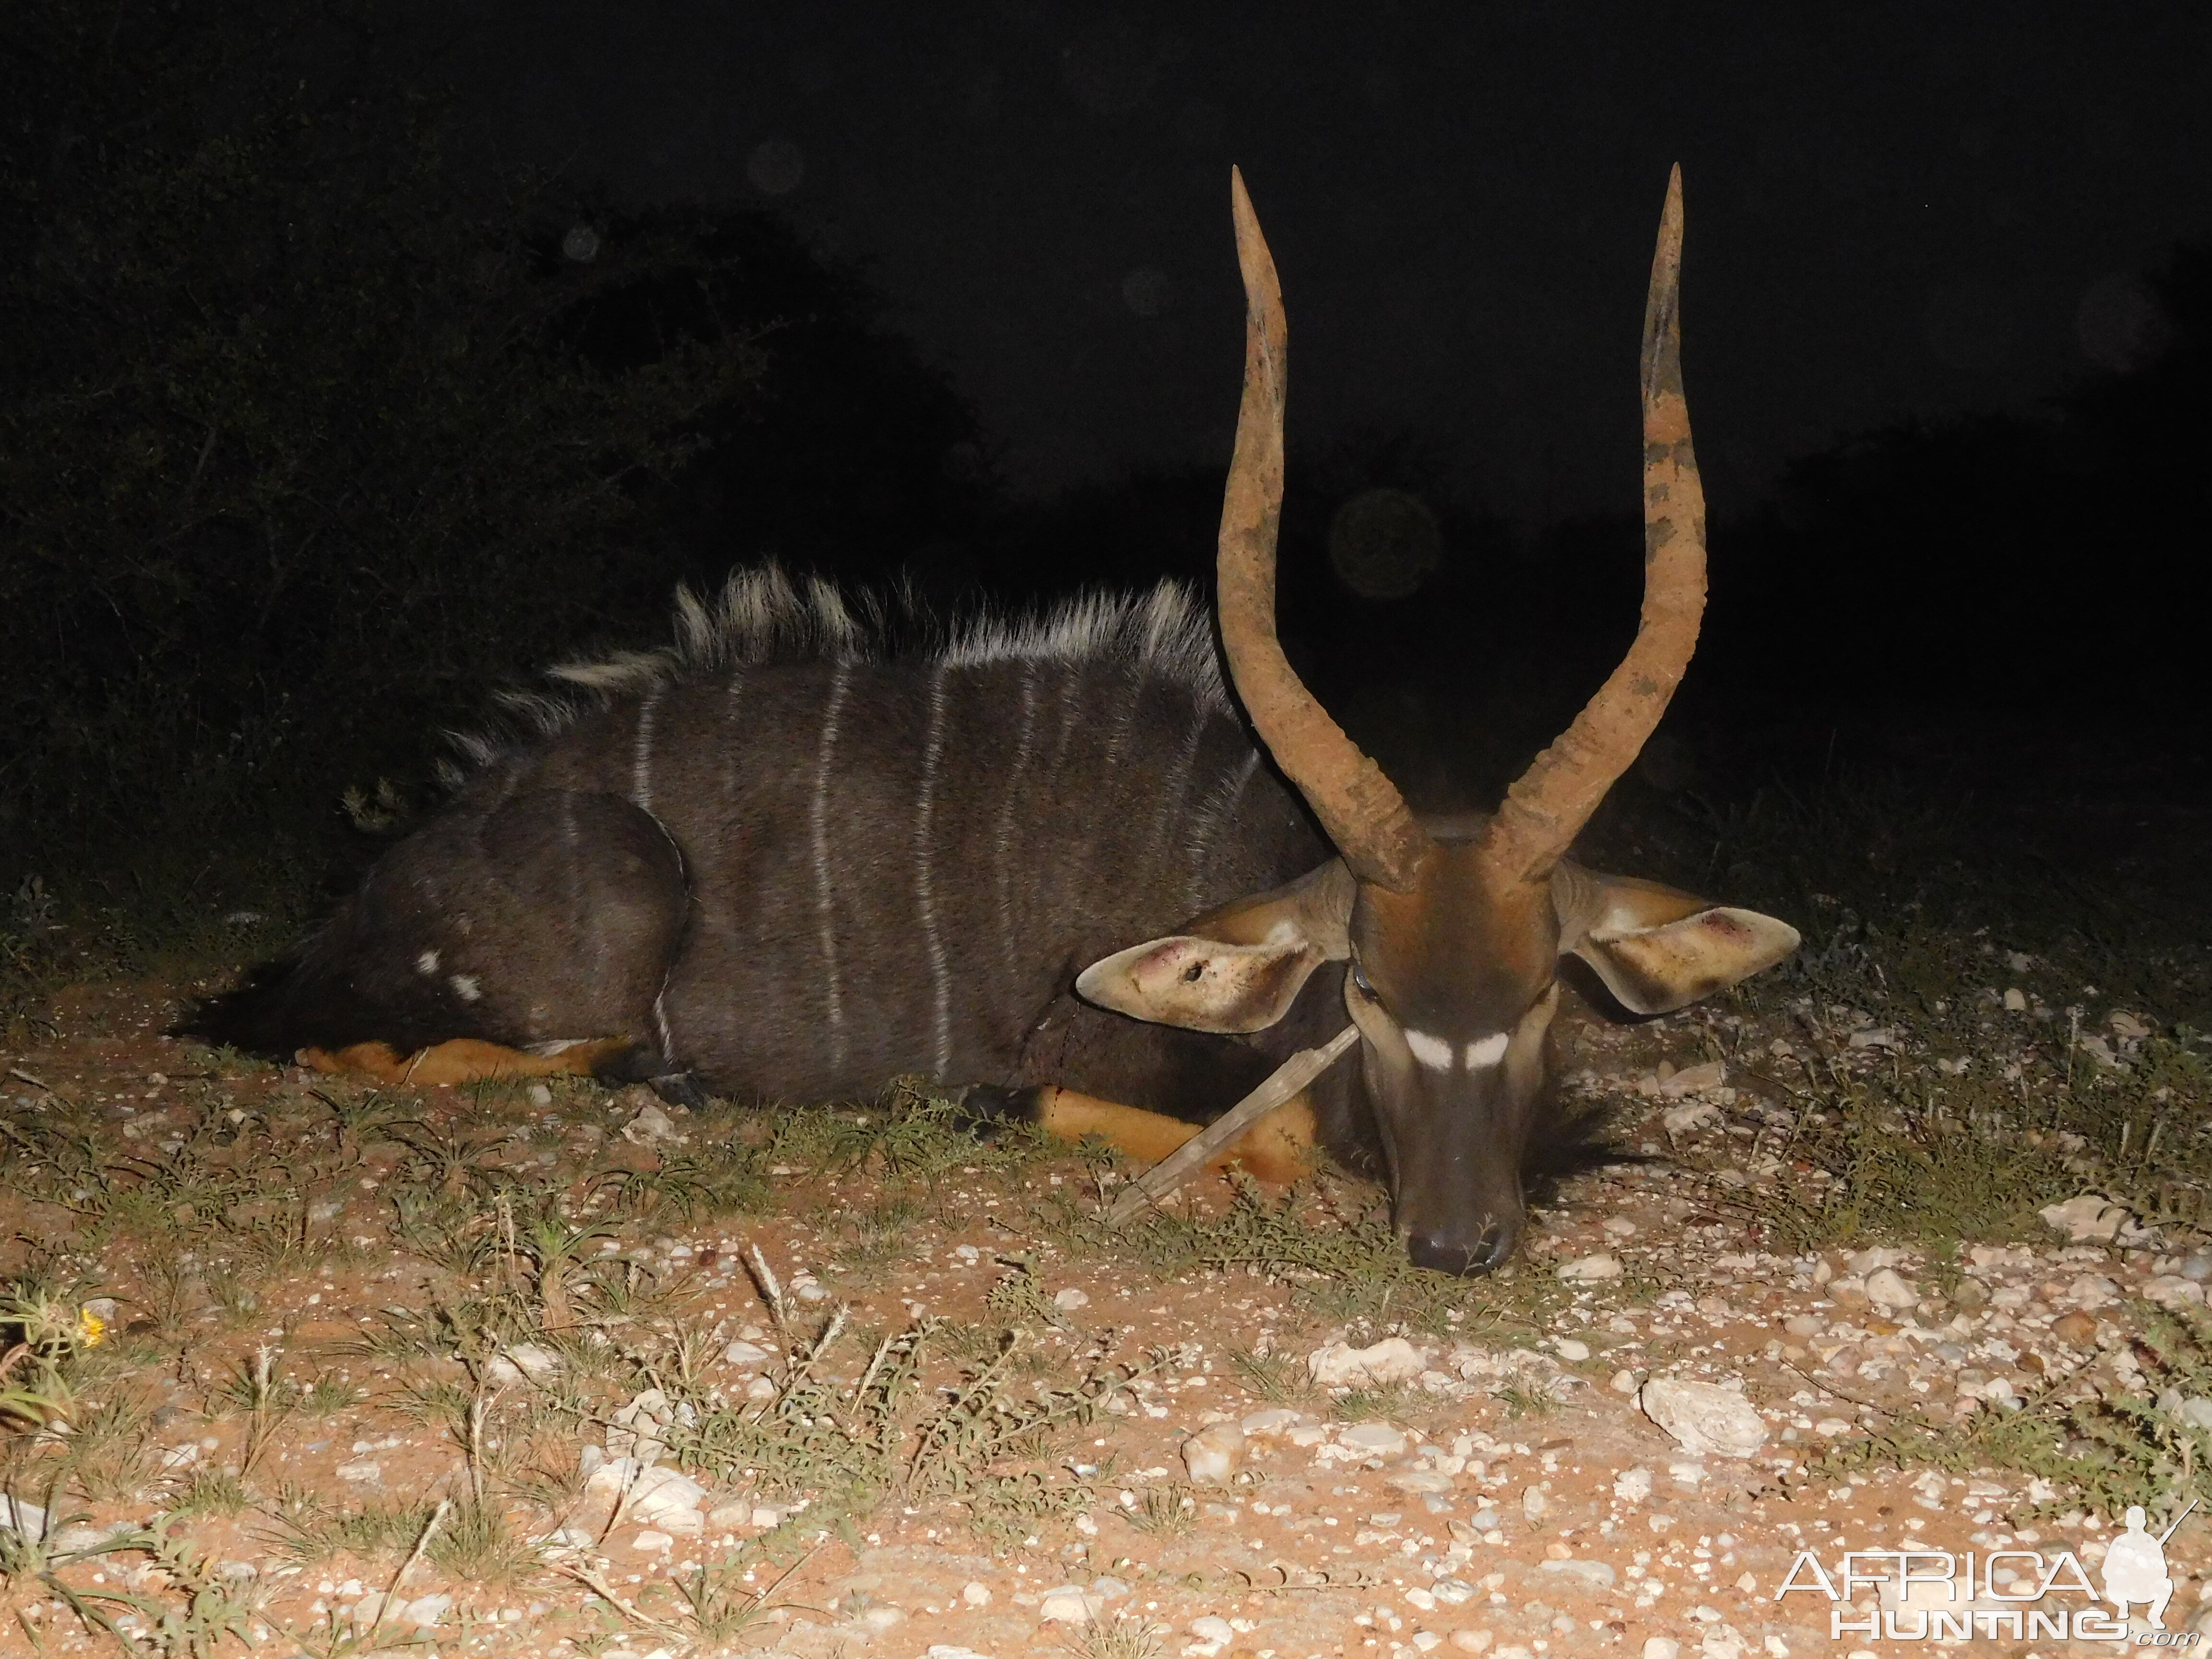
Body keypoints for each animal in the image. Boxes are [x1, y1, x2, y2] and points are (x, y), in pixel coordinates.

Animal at [203, 169, 1796, 1283]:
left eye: (1539, 995)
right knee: (385, 1054)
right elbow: (1240, 1132)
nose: (1461, 1243)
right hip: (603, 912)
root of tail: (353, 906)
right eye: (1367, 994)